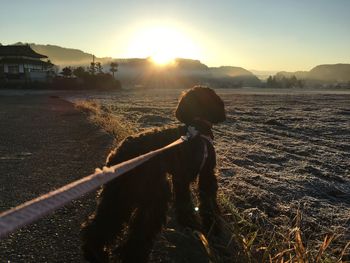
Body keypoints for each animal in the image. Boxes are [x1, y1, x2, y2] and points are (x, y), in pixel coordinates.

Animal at [80, 86, 226, 262]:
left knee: (104, 221)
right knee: (142, 227)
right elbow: (204, 202)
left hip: (118, 192)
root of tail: (119, 153)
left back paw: (94, 251)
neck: (197, 127)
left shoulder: (188, 177)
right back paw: (133, 255)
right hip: (153, 192)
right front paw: (209, 227)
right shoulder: (200, 175)